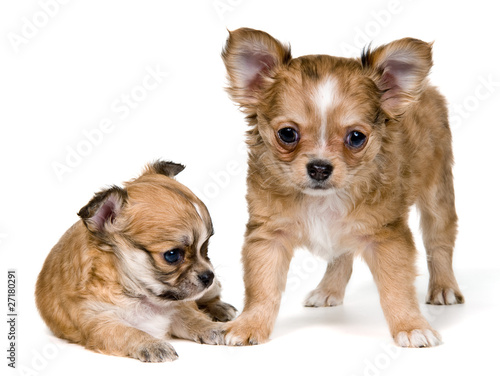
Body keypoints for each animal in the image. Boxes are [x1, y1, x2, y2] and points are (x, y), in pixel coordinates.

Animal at [37, 161, 236, 362]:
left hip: (212, 288)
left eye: (205, 248)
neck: (139, 295)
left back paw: (220, 308)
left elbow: (193, 318)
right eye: (172, 255)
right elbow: (129, 332)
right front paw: (152, 344)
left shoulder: (179, 307)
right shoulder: (100, 321)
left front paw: (213, 328)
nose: (208, 275)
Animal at [221, 27, 462, 348]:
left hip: (437, 192)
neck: (323, 201)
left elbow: (396, 289)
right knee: (342, 256)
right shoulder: (268, 236)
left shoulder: (386, 236)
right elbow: (262, 287)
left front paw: (411, 327)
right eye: (287, 134)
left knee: (439, 242)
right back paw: (329, 289)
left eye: (356, 137)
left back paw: (444, 287)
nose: (320, 167)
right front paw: (249, 324)